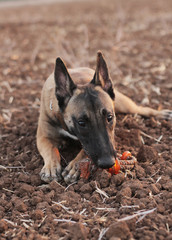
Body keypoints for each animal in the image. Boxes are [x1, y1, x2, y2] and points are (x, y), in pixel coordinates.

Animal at [36, 51, 172, 184]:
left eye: (109, 117)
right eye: (81, 123)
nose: (108, 163)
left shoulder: (110, 136)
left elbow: (85, 151)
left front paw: (75, 165)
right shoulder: (43, 137)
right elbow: (51, 150)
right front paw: (51, 167)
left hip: (124, 104)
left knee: (140, 109)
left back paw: (160, 114)